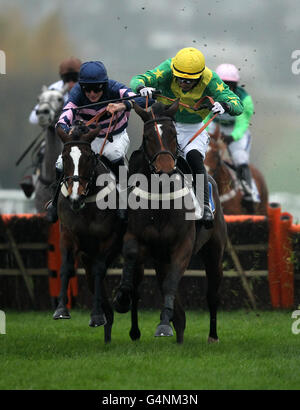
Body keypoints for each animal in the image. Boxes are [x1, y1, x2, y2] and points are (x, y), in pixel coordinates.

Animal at [52, 121, 124, 342]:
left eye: (88, 157)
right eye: (64, 157)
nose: (75, 197)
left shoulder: (108, 239)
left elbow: (100, 271)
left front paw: (96, 316)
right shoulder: (67, 234)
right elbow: (66, 268)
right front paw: (61, 310)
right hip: (86, 255)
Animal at [113, 101, 226, 344]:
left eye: (173, 135)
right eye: (147, 136)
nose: (165, 168)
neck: (161, 201)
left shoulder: (183, 244)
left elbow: (171, 282)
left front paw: (164, 324)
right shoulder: (137, 237)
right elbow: (132, 262)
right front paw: (122, 298)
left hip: (214, 250)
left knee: (212, 293)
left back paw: (212, 335)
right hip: (160, 258)